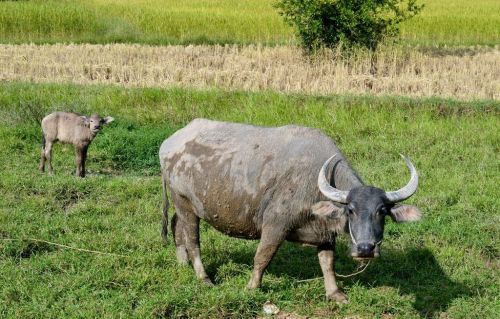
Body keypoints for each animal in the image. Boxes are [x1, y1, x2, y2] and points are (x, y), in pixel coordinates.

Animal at [160, 119, 422, 302]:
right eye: (350, 210)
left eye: (382, 211)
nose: (365, 249)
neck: (315, 182)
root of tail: (169, 144)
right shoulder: (275, 225)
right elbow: (262, 257)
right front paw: (252, 287)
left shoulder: (324, 233)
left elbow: (328, 262)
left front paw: (335, 293)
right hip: (183, 202)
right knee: (192, 239)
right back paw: (204, 277)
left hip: (183, 205)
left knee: (176, 226)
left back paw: (182, 263)